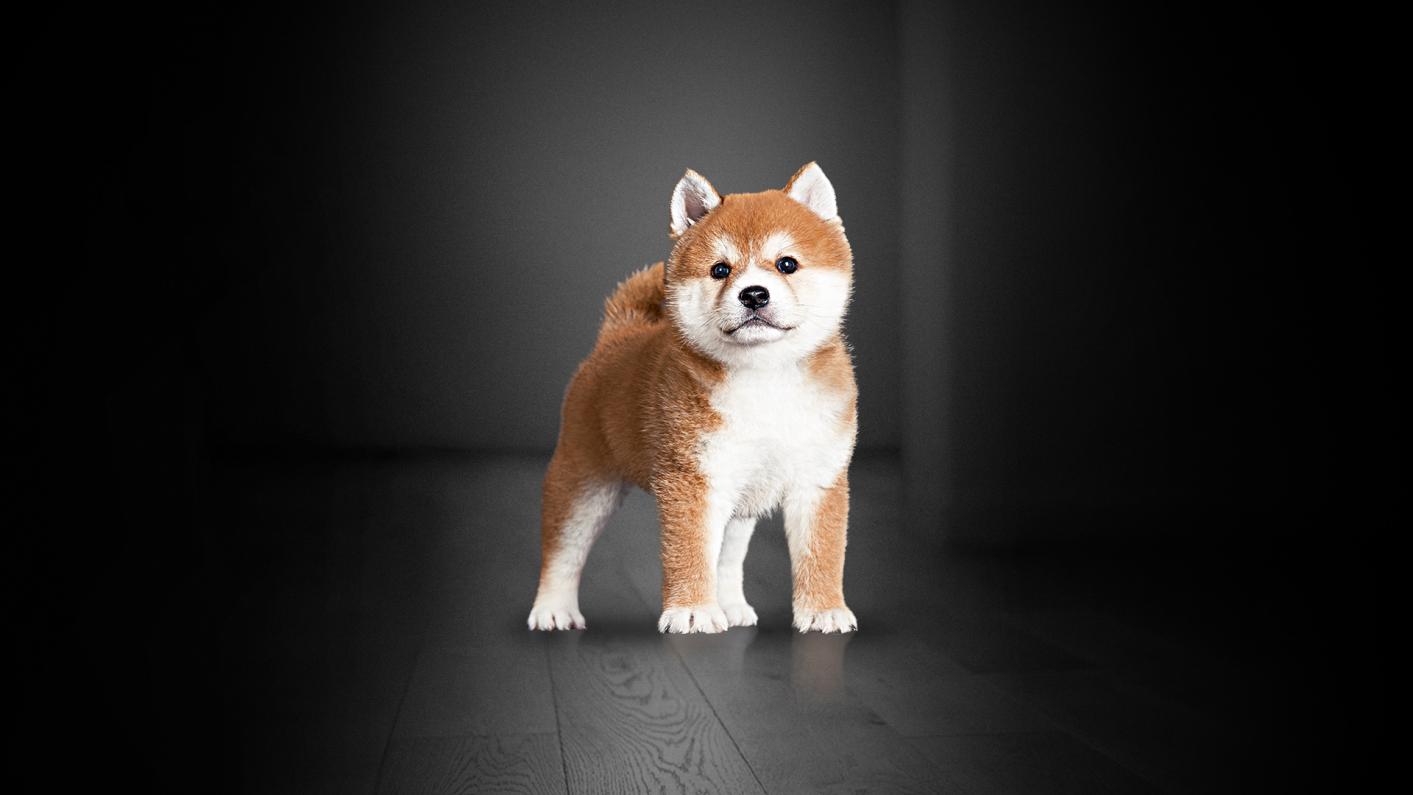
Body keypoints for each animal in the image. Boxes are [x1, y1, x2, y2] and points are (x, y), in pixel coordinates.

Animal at [527, 163, 858, 634]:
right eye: (720, 270)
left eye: (787, 264)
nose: (754, 293)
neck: (765, 377)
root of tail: (616, 336)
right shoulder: (692, 480)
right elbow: (690, 552)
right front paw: (692, 611)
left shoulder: (818, 477)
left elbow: (822, 552)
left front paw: (824, 609)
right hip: (583, 483)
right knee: (562, 551)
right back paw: (553, 608)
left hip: (738, 502)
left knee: (728, 557)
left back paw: (732, 605)